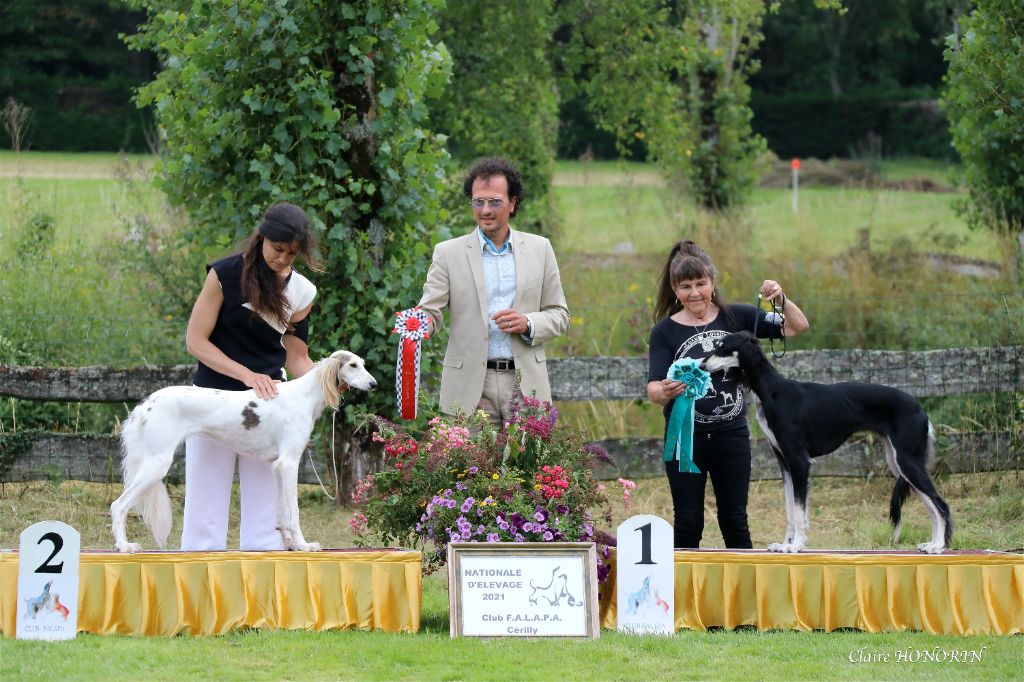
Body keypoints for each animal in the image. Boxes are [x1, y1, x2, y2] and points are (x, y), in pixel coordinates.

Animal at [109, 350, 380, 552]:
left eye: (364, 365)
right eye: (353, 365)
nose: (374, 384)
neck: (304, 395)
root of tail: (143, 405)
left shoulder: (277, 467)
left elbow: (282, 516)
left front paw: (290, 544)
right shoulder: (289, 463)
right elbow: (294, 513)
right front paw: (304, 545)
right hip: (157, 464)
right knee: (118, 505)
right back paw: (124, 546)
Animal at [704, 329, 950, 552]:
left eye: (723, 347)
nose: (702, 365)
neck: (773, 391)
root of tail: (921, 409)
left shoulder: (800, 461)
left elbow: (799, 510)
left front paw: (796, 546)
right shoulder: (785, 463)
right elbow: (790, 510)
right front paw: (785, 544)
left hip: (907, 462)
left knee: (940, 503)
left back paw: (938, 546)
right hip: (899, 464)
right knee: (931, 503)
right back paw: (932, 543)